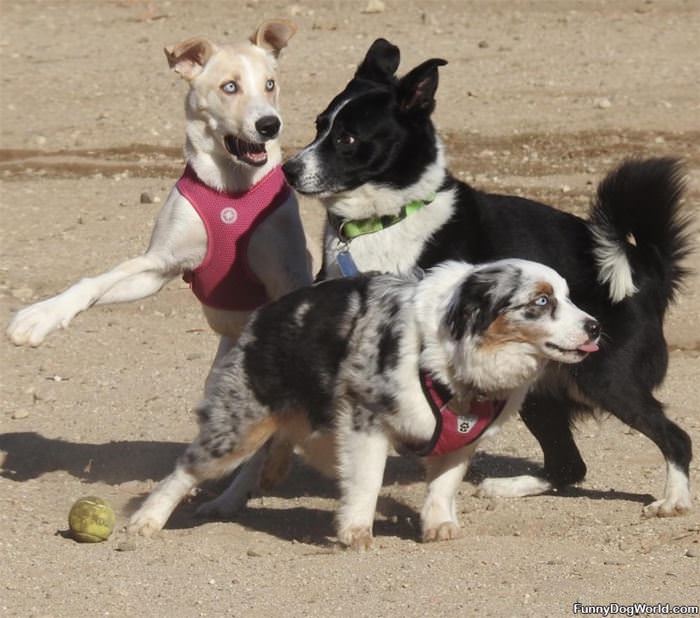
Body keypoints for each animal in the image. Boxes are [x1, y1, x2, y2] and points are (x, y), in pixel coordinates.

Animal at [6, 21, 310, 508]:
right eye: (229, 87)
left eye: (270, 83)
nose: (269, 124)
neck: (231, 191)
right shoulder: (158, 265)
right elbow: (94, 283)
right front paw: (40, 317)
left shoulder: (288, 278)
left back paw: (234, 496)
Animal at [129, 256, 600, 544]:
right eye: (541, 301)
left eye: (570, 296)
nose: (595, 326)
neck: (447, 360)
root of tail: (267, 312)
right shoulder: (366, 422)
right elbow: (368, 479)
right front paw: (355, 530)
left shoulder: (462, 439)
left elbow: (443, 485)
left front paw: (438, 524)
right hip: (242, 422)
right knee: (189, 469)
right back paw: (148, 521)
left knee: (272, 451)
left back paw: (241, 493)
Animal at [284, 36, 696, 512]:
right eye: (319, 125)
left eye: (347, 137)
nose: (288, 169)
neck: (384, 221)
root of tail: (643, 269)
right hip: (538, 388)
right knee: (568, 466)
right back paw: (510, 485)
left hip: (607, 378)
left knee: (674, 437)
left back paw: (674, 500)